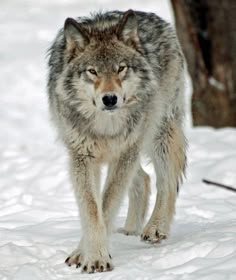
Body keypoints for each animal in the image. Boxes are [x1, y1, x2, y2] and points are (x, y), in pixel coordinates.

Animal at [47, 9, 187, 274]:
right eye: (92, 71)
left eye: (121, 68)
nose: (109, 99)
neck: (105, 126)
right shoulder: (82, 157)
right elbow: (92, 210)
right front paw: (89, 254)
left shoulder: (126, 152)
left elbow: (107, 204)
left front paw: (92, 257)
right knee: (144, 179)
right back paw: (130, 230)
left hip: (156, 133)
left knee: (167, 181)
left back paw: (155, 227)